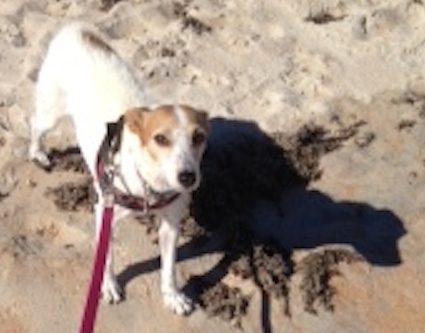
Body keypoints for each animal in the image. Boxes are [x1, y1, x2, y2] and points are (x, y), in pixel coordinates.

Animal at [29, 21, 208, 314]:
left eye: (199, 137)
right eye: (160, 139)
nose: (187, 177)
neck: (149, 183)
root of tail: (75, 29)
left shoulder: (171, 224)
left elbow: (169, 267)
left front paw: (172, 296)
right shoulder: (106, 214)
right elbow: (107, 257)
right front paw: (109, 286)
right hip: (50, 112)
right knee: (35, 125)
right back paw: (37, 153)